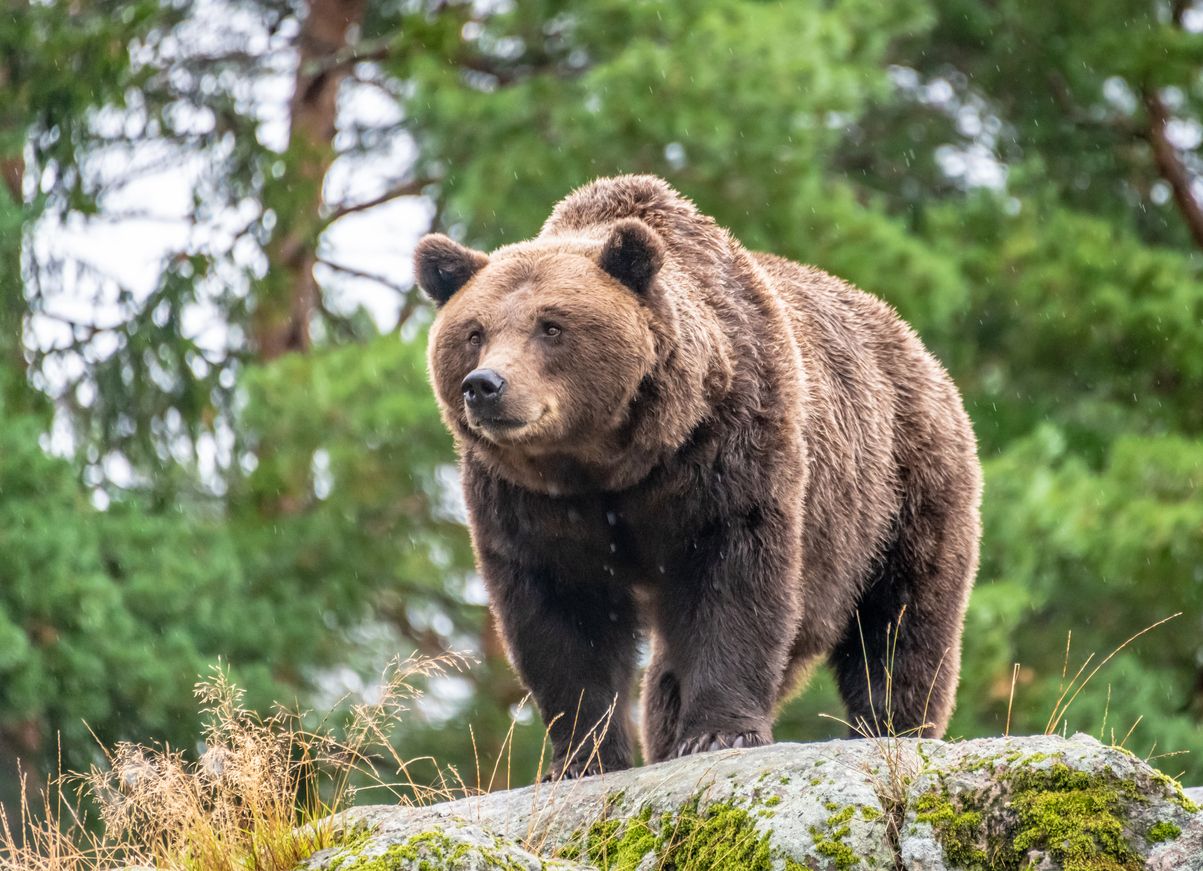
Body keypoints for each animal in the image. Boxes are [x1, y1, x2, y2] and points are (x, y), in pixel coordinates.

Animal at [415, 175, 981, 779]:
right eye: (474, 332)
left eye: (551, 326)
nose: (485, 385)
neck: (609, 462)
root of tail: (913, 342)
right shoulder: (527, 502)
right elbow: (561, 615)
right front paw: (581, 758)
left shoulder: (729, 449)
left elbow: (736, 579)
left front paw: (718, 733)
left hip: (899, 487)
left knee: (902, 619)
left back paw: (891, 727)